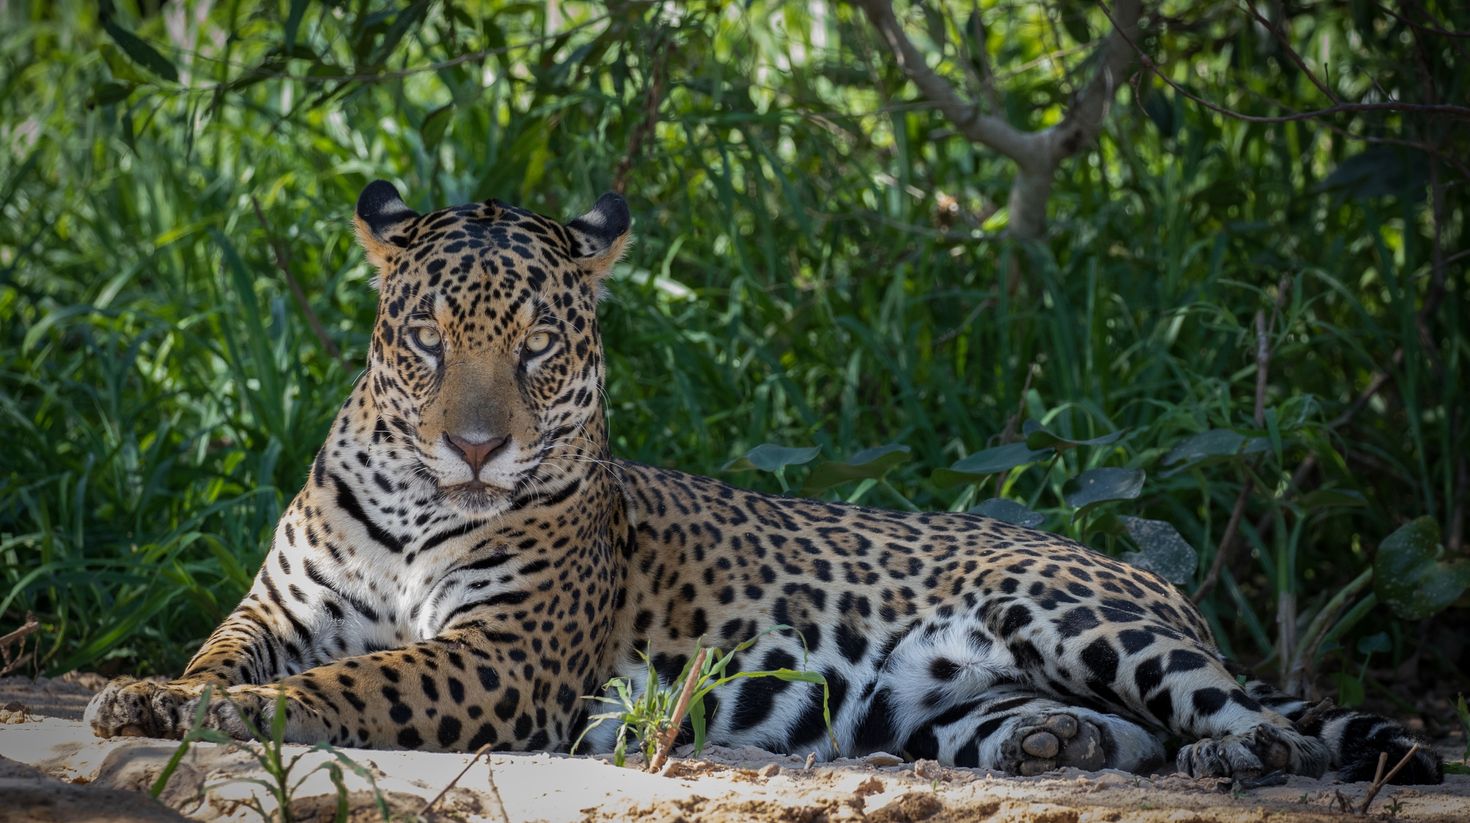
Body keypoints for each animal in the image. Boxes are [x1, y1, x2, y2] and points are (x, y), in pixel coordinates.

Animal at [86, 182, 1443, 786]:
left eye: (536, 348)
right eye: (425, 341)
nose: (476, 448)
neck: (424, 504)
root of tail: (1146, 582)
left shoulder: (504, 655)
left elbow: (350, 686)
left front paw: (230, 719)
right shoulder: (283, 607)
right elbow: (225, 651)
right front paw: (155, 694)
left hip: (1073, 610)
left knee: (1238, 713)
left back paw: (1243, 759)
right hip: (940, 705)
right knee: (1118, 729)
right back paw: (1054, 739)